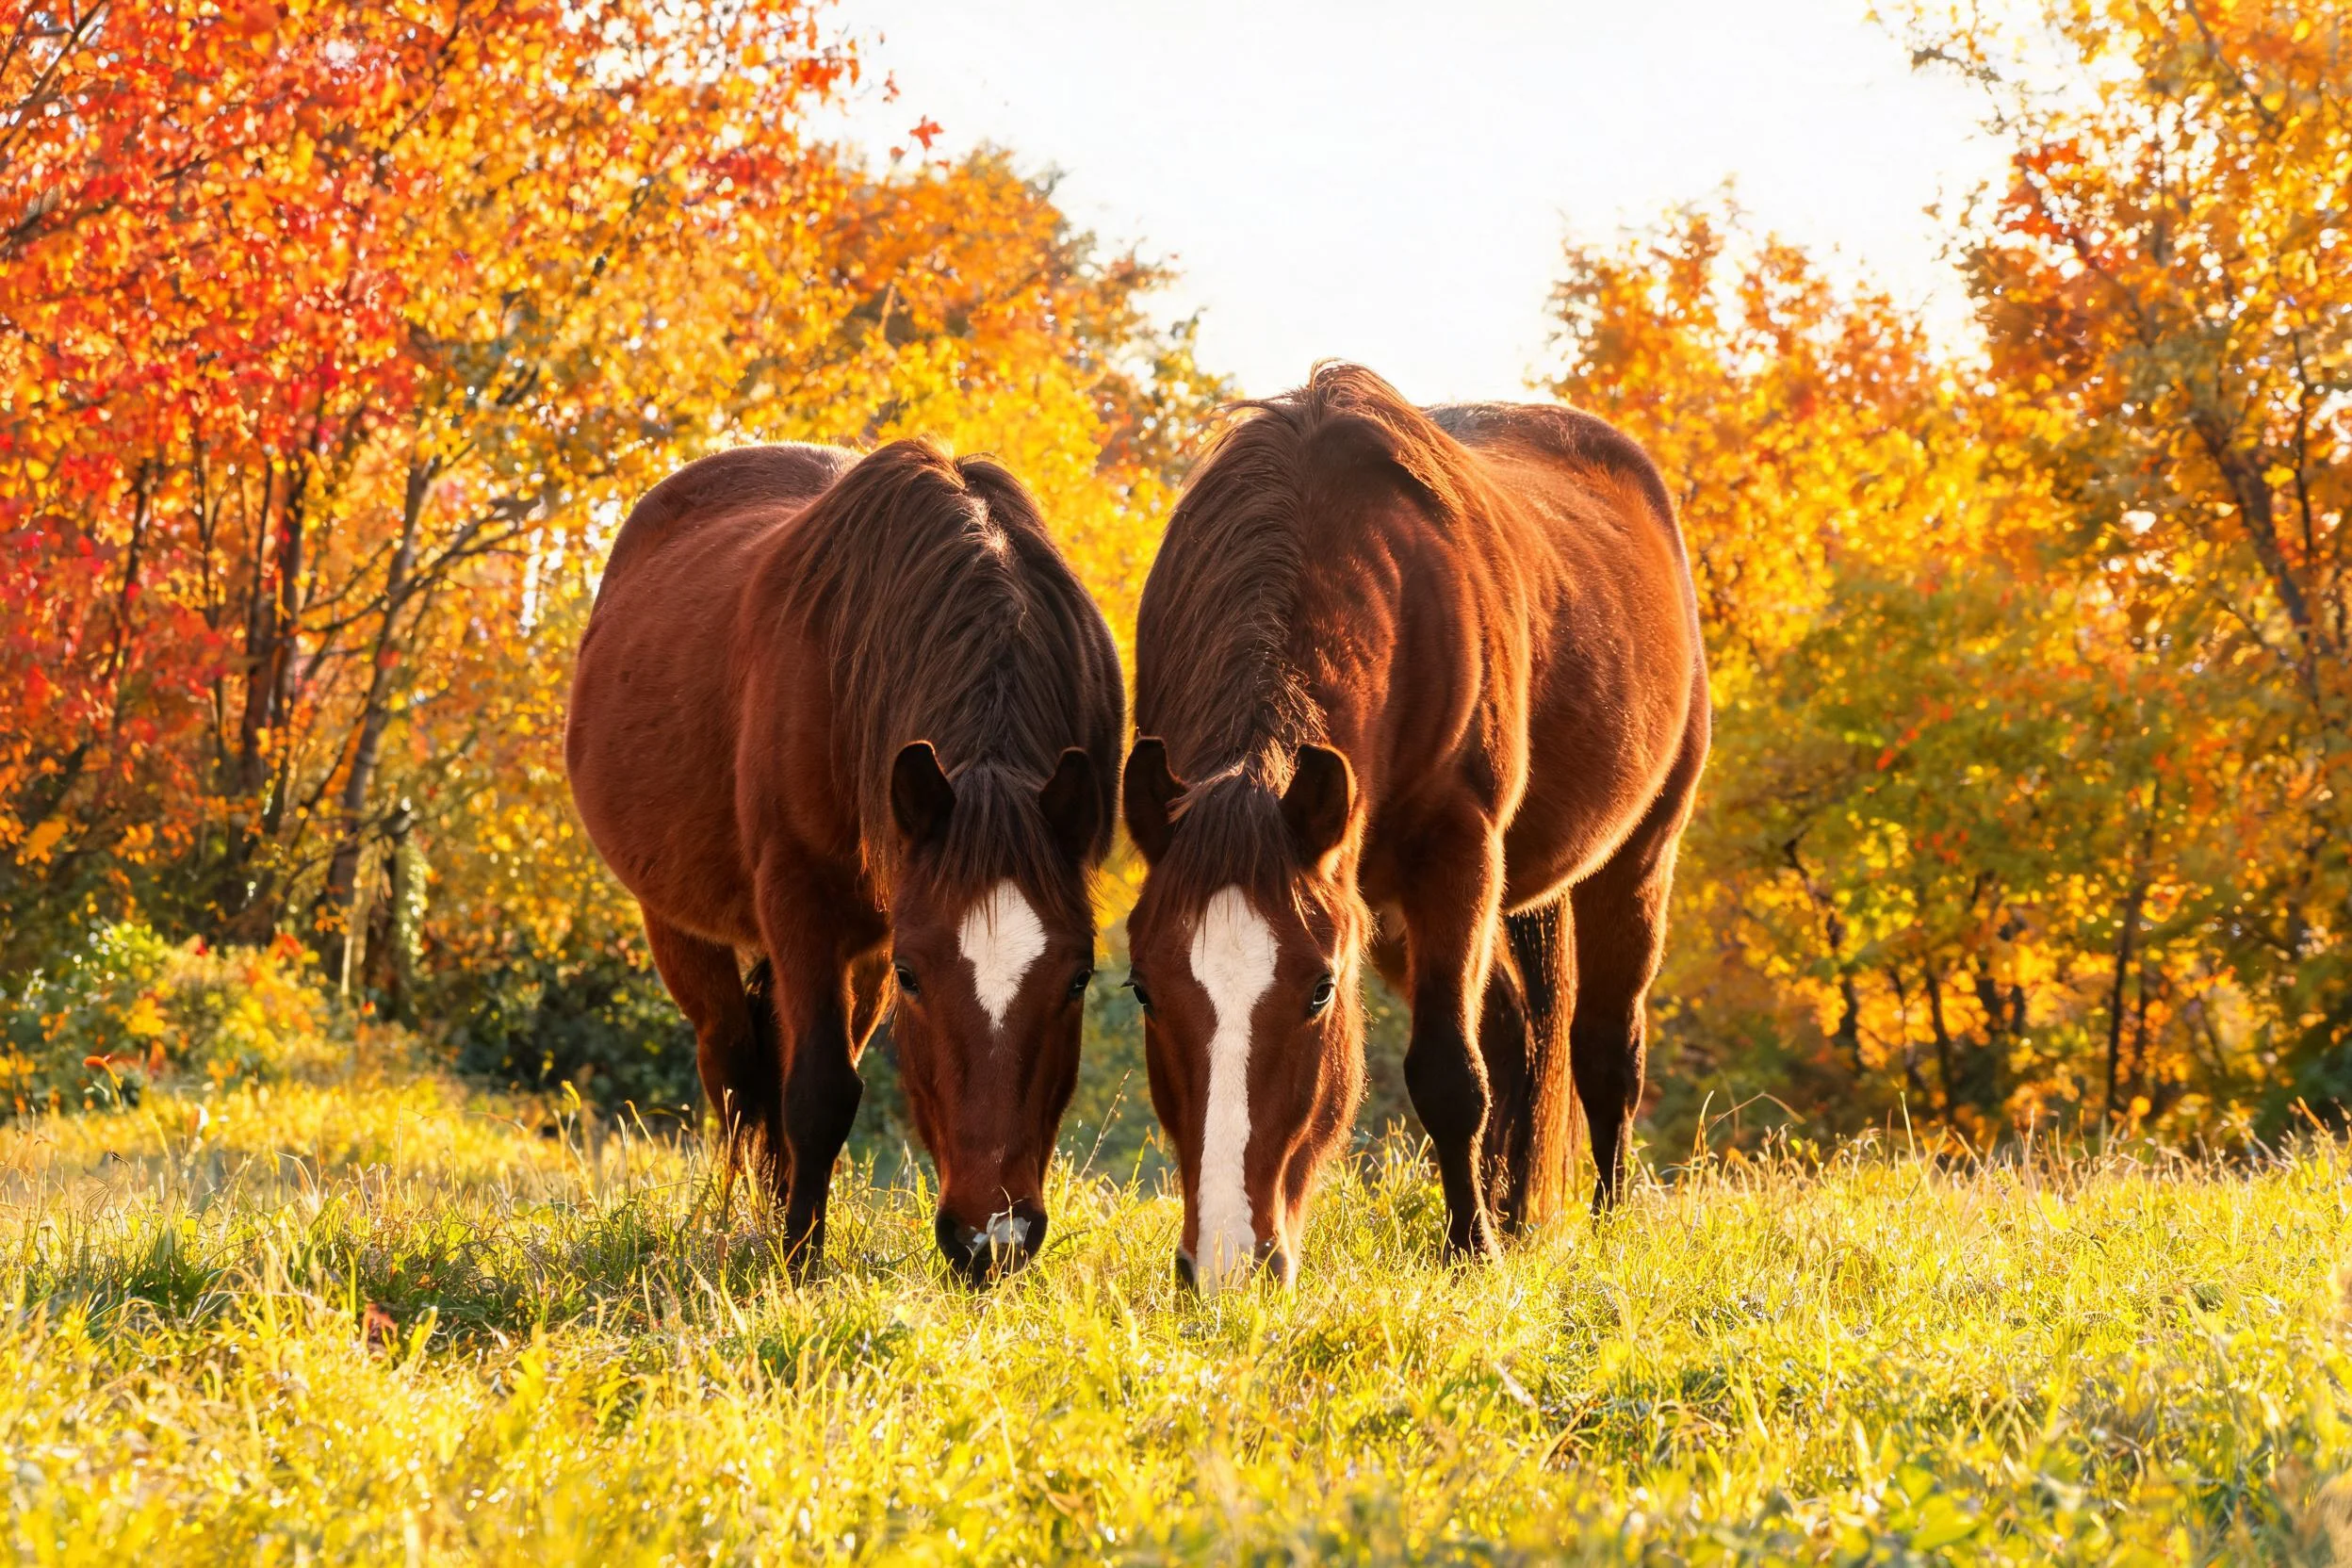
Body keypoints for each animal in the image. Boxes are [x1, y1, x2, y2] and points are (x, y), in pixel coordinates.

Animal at [566, 438, 1124, 1284]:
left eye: (1078, 978)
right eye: (916, 978)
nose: (990, 1241)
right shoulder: (802, 904)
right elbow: (820, 1090)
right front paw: (798, 1262)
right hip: (680, 927)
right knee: (734, 1071)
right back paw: (741, 1222)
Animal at [1120, 363, 1708, 1295]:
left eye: (1320, 990)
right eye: (1144, 987)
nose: (1227, 1265)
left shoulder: (1455, 856)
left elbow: (1447, 1073)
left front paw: (1470, 1250)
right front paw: (1483, 1231)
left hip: (1636, 860)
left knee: (1605, 1047)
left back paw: (1604, 1221)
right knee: (1517, 1032)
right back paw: (1512, 1210)